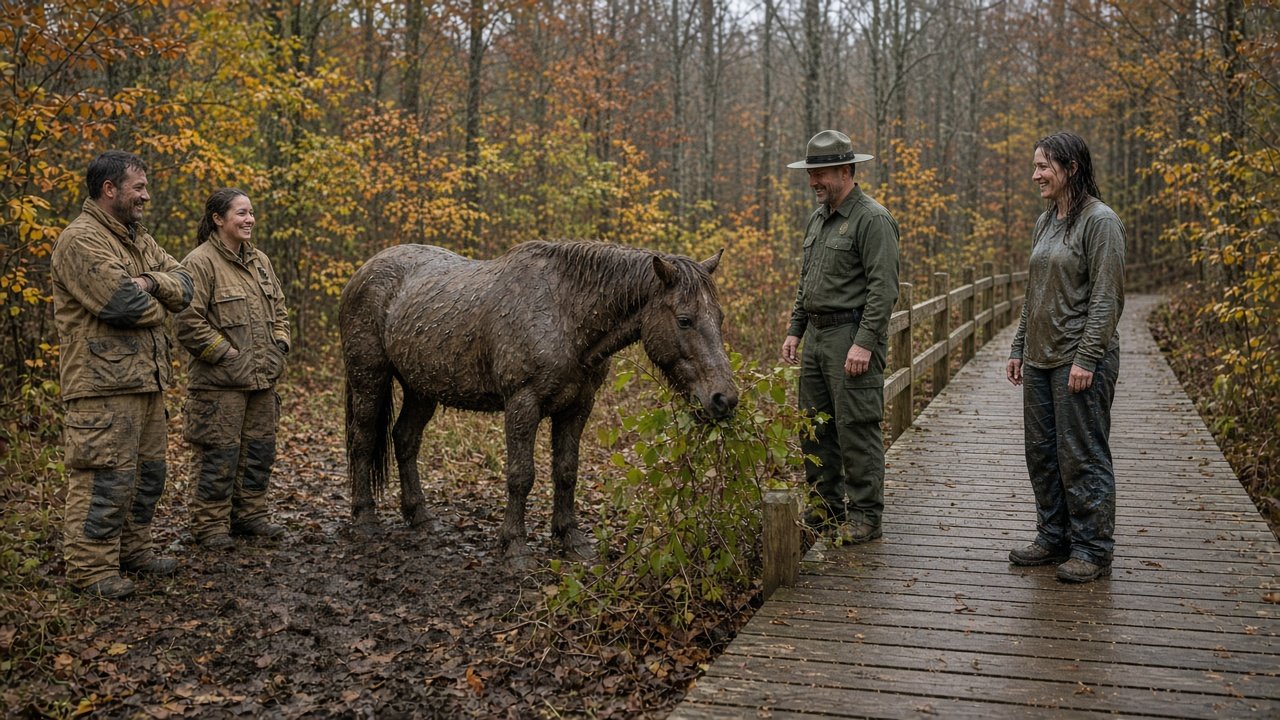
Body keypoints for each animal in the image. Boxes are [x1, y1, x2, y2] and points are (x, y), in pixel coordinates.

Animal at [338, 240, 738, 567]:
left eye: (719, 318)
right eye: (684, 320)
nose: (725, 399)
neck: (565, 314)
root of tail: (365, 270)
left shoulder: (577, 407)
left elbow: (566, 472)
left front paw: (571, 539)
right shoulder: (523, 404)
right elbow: (521, 476)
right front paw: (514, 546)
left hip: (421, 389)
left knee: (405, 440)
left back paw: (420, 517)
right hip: (369, 379)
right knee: (362, 441)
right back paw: (365, 519)